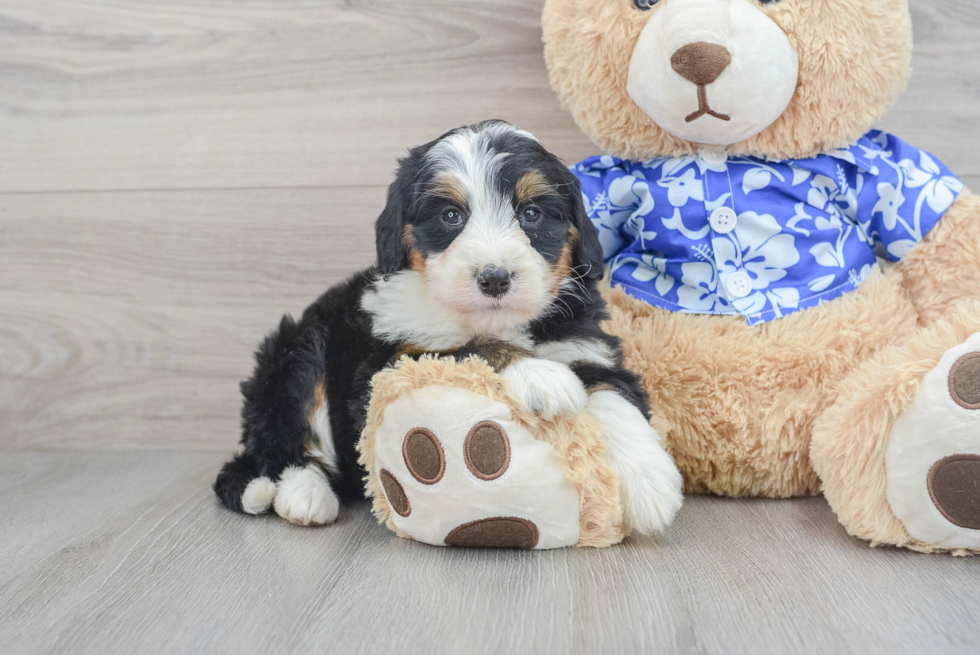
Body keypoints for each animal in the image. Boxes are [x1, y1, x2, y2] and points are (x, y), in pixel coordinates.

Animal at [214, 120, 680, 536]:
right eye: (452, 216)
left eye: (530, 213)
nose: (494, 278)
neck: (495, 319)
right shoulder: (385, 365)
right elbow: (468, 347)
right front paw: (539, 375)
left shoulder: (586, 347)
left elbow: (614, 395)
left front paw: (651, 483)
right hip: (297, 350)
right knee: (287, 439)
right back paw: (303, 495)